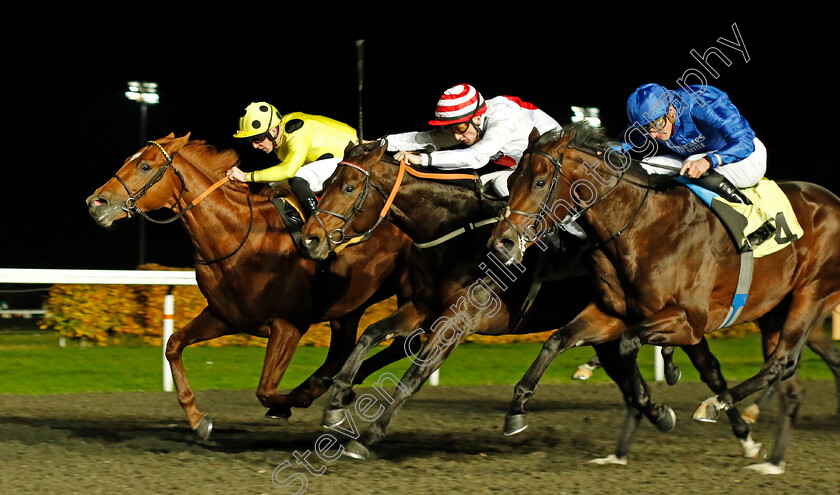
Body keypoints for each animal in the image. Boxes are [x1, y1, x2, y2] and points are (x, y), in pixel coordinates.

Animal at [85, 135, 414, 442]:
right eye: (128, 160)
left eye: (145, 166)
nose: (95, 203)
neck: (239, 235)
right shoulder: (226, 316)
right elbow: (173, 345)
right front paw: (197, 419)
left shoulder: (288, 325)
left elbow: (265, 391)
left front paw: (300, 401)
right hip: (349, 308)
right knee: (348, 349)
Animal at [296, 140, 760, 464]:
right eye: (327, 184)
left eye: (349, 186)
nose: (309, 240)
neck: (452, 233)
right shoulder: (423, 309)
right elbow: (370, 335)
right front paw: (335, 402)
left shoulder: (459, 319)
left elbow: (414, 374)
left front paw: (368, 436)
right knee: (636, 377)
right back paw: (670, 415)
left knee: (704, 367)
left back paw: (740, 431)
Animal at [488, 122, 840, 474]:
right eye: (510, 181)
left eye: (539, 182)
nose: (502, 242)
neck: (642, 227)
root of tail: (833, 200)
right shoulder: (615, 313)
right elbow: (557, 340)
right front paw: (516, 409)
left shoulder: (689, 321)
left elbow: (628, 345)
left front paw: (657, 410)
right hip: (772, 311)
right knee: (790, 386)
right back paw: (772, 461)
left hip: (811, 294)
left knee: (783, 362)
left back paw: (715, 407)